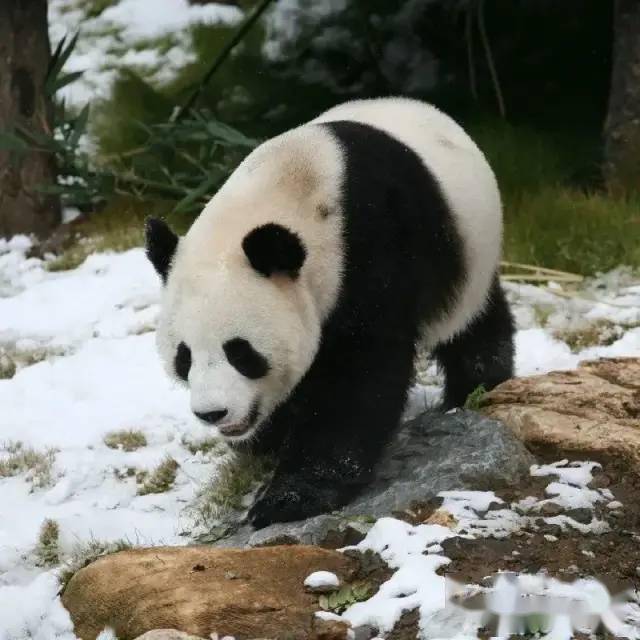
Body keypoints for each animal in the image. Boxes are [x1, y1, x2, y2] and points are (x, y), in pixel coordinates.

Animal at [145, 99, 516, 528]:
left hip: (468, 256)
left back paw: (475, 387)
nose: (212, 413)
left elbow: (358, 376)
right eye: (184, 357)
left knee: (472, 327)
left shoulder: (372, 251)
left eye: (241, 352)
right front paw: (267, 441)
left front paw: (291, 498)